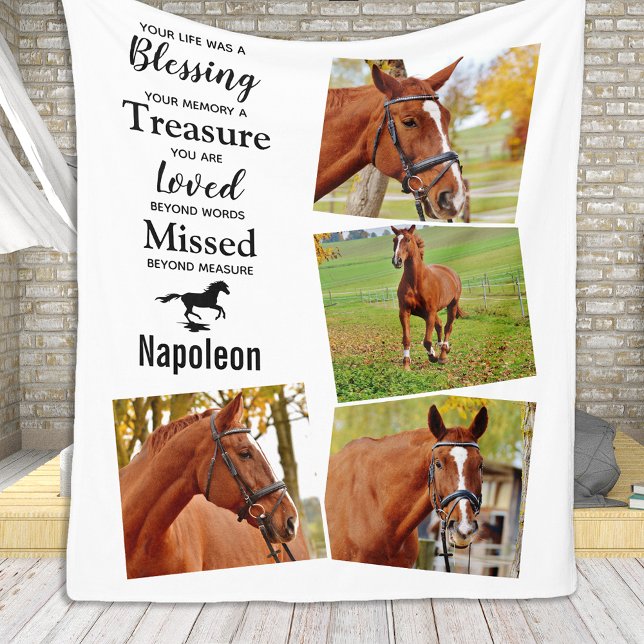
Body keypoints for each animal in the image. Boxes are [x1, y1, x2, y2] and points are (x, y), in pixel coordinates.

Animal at [392, 225, 465, 368]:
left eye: (408, 239)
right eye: (394, 240)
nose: (397, 260)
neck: (416, 282)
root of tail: (452, 273)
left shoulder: (430, 312)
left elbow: (427, 341)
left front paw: (433, 356)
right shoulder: (405, 311)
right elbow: (407, 338)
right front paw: (406, 364)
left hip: (451, 305)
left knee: (448, 327)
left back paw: (443, 354)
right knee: (440, 325)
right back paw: (442, 347)